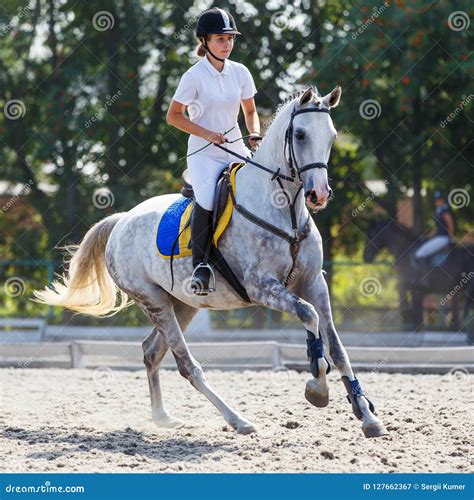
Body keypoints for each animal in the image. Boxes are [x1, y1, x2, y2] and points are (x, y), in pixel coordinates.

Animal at [34, 86, 388, 438]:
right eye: (300, 135)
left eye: (332, 135)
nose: (319, 194)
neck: (284, 210)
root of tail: (121, 221)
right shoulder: (261, 286)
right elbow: (308, 315)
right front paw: (317, 386)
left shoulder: (314, 282)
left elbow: (336, 346)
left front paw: (366, 414)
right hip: (154, 301)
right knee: (186, 365)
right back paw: (238, 420)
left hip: (182, 304)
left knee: (151, 352)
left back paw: (164, 417)